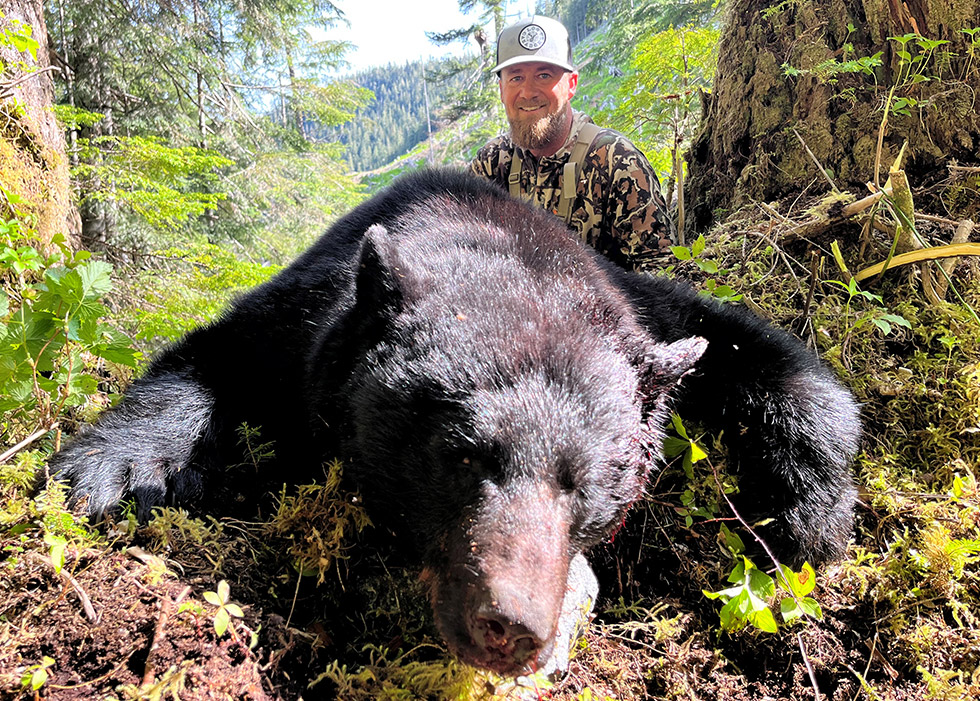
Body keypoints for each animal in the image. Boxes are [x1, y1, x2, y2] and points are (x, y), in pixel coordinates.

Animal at [49, 169, 860, 678]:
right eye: (463, 454)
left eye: (586, 486)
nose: (513, 625)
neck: (486, 233)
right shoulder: (305, 315)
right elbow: (213, 352)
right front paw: (113, 469)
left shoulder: (638, 306)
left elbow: (738, 341)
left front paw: (811, 508)